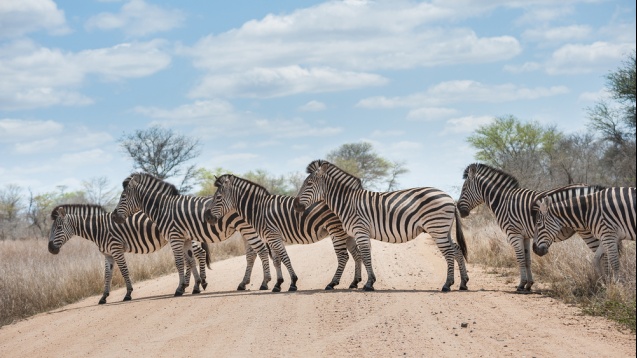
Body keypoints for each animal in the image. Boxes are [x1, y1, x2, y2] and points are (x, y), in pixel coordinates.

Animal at [48, 204, 211, 304]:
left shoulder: (116, 249)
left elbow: (124, 271)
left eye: (59, 228)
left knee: (200, 253)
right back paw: (192, 285)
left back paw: (200, 283)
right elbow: (107, 275)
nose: (50, 249)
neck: (98, 229)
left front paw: (128, 294)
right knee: (191, 258)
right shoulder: (108, 254)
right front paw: (103, 297)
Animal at [112, 172, 270, 296]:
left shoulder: (175, 237)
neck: (164, 208)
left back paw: (264, 282)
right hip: (244, 230)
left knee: (261, 250)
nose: (113, 217)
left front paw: (180, 288)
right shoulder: (186, 238)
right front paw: (195, 285)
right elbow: (190, 260)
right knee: (251, 254)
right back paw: (244, 283)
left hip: (247, 228)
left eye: (123, 196)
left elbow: (179, 262)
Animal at [204, 175, 362, 292]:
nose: (207, 217)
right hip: (346, 232)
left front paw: (293, 283)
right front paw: (278, 284)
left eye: (218, 198)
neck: (258, 210)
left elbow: (285, 258)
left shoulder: (273, 236)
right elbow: (276, 260)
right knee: (356, 254)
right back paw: (355, 282)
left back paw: (332, 283)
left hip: (335, 230)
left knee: (343, 256)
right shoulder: (271, 238)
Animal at [290, 161, 464, 292]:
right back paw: (463, 283)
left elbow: (365, 255)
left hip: (437, 228)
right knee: (456, 249)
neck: (347, 202)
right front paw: (367, 282)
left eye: (309, 183)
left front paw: (368, 284)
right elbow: (363, 255)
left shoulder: (360, 230)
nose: (296, 206)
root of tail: (449, 197)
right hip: (444, 229)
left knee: (449, 253)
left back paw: (447, 285)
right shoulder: (358, 232)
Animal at [458, 164, 608, 292]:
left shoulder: (514, 233)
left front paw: (521, 285)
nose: (459, 210)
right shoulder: (525, 236)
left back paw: (606, 284)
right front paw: (529, 285)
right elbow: (527, 260)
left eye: (464, 189)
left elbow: (520, 259)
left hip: (589, 230)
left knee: (604, 255)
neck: (503, 201)